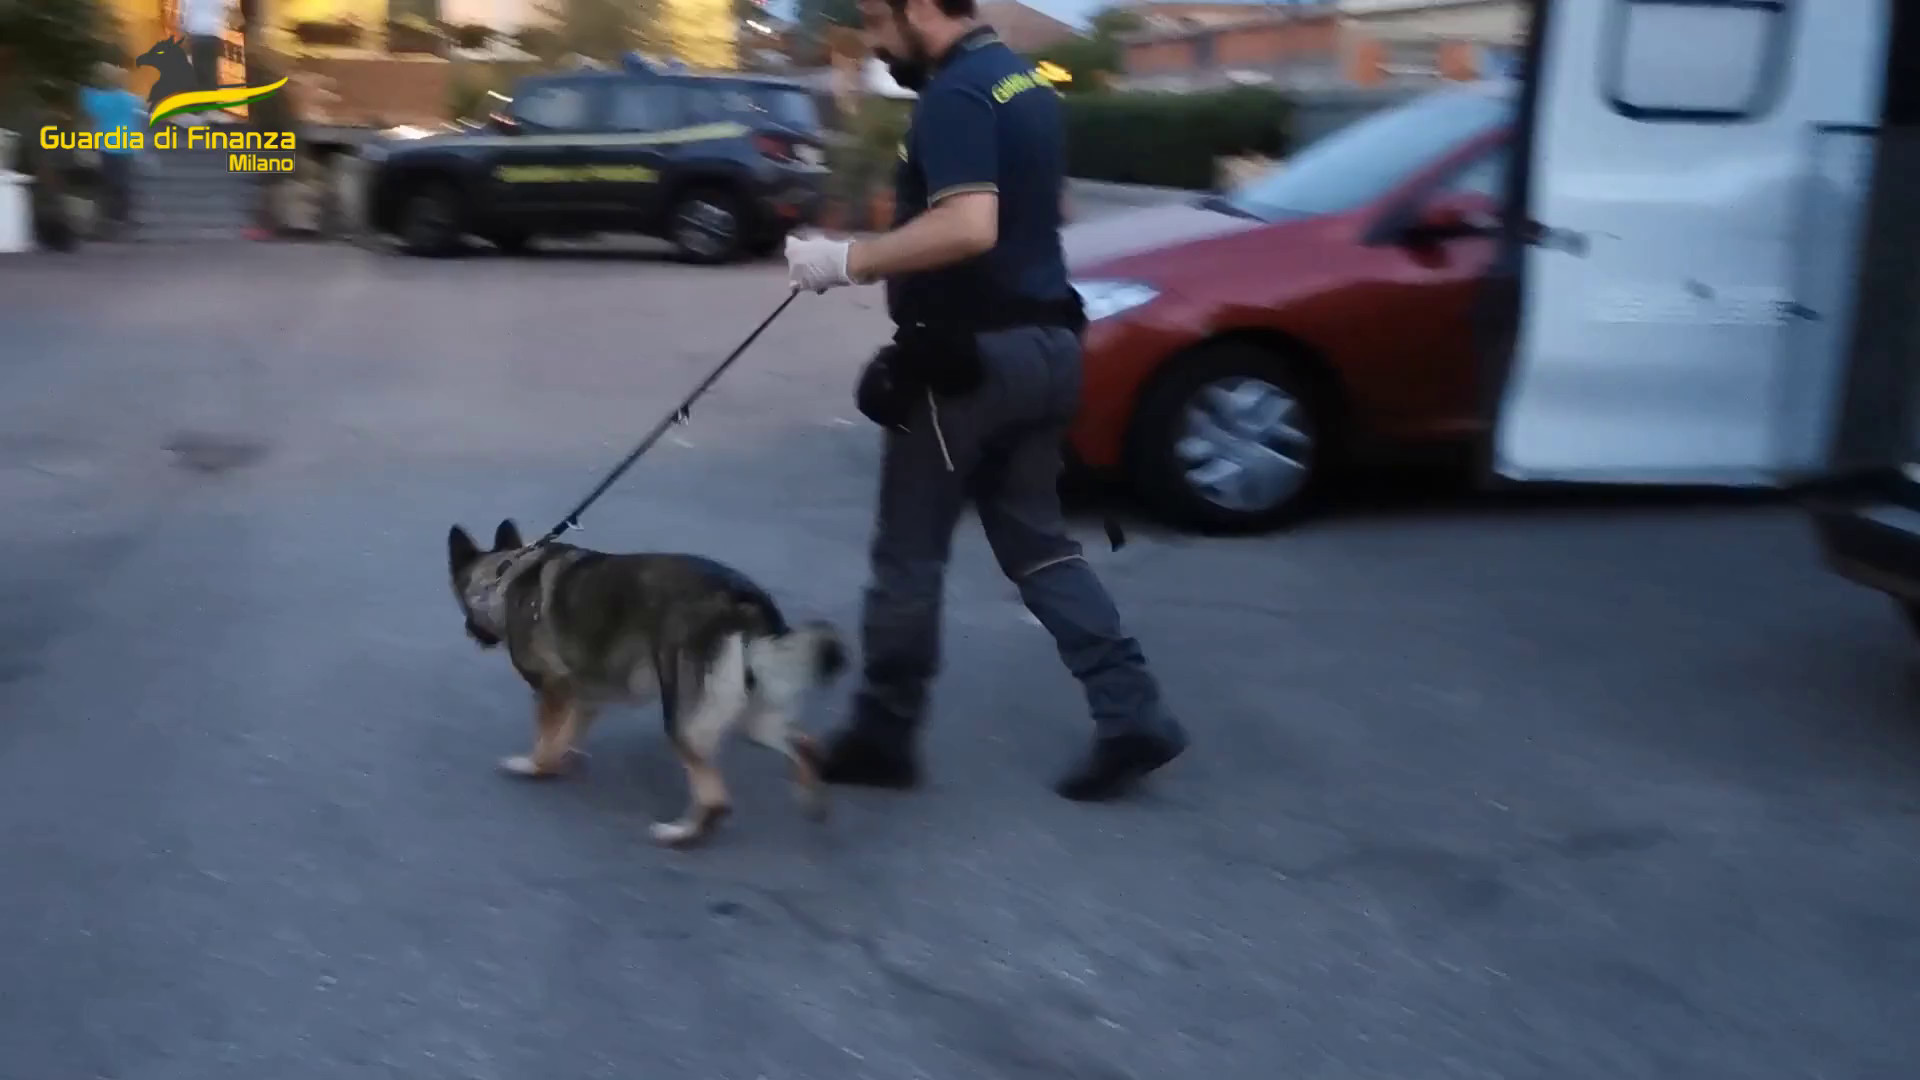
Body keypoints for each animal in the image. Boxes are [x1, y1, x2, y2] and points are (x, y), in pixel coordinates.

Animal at [449, 518, 848, 845]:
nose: (470, 631)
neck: (504, 575)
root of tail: (740, 597)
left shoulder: (553, 689)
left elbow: (546, 740)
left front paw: (535, 766)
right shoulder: (584, 696)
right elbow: (566, 733)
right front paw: (561, 759)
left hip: (684, 718)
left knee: (715, 797)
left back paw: (680, 834)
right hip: (752, 713)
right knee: (804, 743)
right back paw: (813, 798)